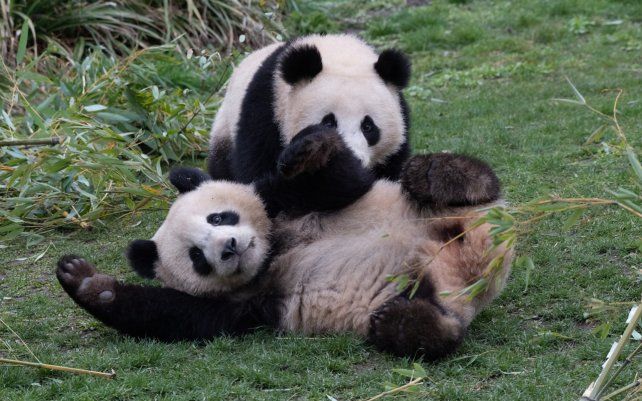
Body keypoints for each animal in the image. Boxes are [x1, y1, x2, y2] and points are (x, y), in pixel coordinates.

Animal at [56, 130, 511, 359]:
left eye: (219, 217)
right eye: (197, 257)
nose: (229, 247)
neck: (274, 249)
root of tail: (472, 265)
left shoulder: (285, 201)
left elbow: (342, 181)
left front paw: (308, 149)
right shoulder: (247, 301)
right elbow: (184, 316)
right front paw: (85, 282)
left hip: (454, 213)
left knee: (473, 184)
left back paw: (438, 175)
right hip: (424, 288)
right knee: (440, 327)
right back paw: (408, 323)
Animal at [208, 34, 412, 184]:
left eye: (368, 127)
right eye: (328, 123)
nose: (353, 159)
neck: (338, 54)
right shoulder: (266, 112)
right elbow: (257, 169)